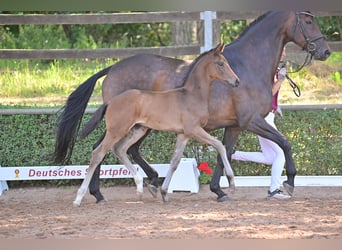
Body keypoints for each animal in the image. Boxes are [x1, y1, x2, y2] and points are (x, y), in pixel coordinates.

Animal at [72, 44, 239, 206]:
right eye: (220, 63)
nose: (236, 81)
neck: (192, 96)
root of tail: (111, 102)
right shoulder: (194, 129)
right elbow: (220, 145)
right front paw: (231, 182)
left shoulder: (183, 134)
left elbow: (175, 161)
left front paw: (164, 193)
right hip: (116, 130)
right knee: (98, 153)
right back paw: (80, 198)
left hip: (137, 130)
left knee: (119, 149)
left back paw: (139, 186)